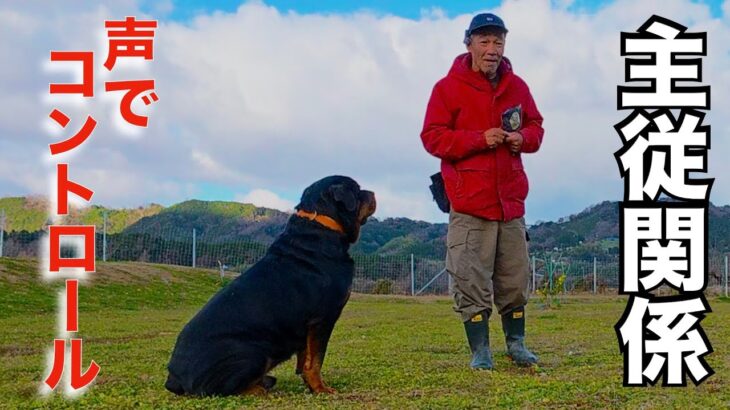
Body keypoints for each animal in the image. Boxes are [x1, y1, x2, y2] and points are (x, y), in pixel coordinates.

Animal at [162, 176, 372, 398]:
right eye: (357, 191)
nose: (372, 193)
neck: (320, 225)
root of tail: (174, 377)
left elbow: (305, 358)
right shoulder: (322, 319)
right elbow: (315, 360)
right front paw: (321, 389)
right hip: (254, 353)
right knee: (224, 390)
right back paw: (261, 387)